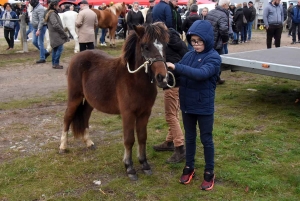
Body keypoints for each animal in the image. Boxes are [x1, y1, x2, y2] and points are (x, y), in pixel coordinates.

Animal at [59, 22, 170, 181]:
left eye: (165, 45)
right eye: (145, 46)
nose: (162, 77)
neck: (135, 81)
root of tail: (78, 56)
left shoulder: (145, 113)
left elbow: (142, 137)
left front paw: (144, 164)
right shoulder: (128, 114)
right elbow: (129, 139)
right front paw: (129, 168)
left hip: (90, 102)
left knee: (85, 117)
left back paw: (88, 142)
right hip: (75, 97)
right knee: (67, 118)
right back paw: (63, 146)